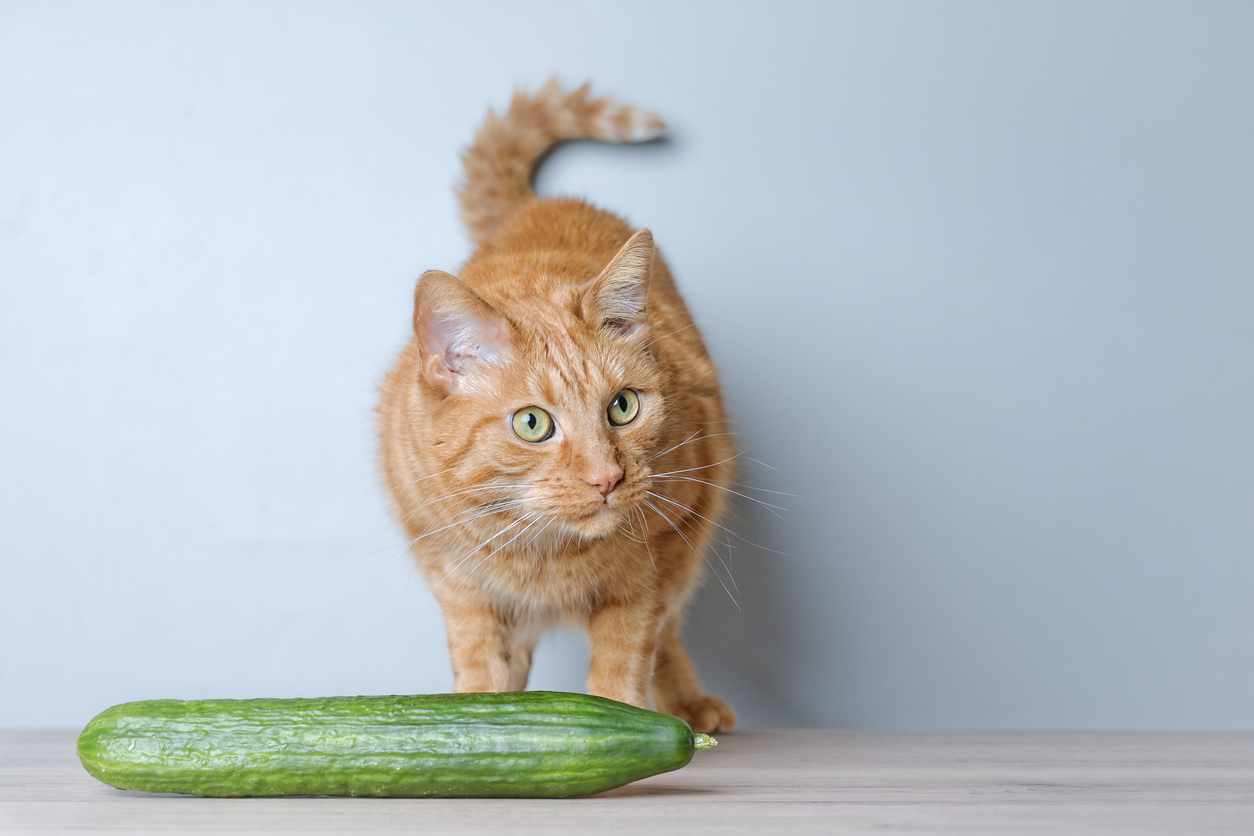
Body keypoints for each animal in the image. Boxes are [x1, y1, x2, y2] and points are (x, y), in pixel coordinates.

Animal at [376, 78, 737, 731]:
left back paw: (689, 705)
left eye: (623, 408)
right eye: (532, 423)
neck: (544, 549)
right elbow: (481, 659)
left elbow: (627, 659)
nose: (606, 479)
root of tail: (539, 205)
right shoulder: (455, 577)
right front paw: (480, 719)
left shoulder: (657, 566)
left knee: (670, 632)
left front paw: (628, 723)